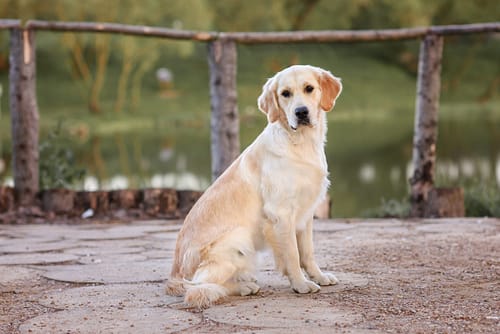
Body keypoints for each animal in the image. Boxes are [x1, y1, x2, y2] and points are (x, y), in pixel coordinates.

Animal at [166, 64, 342, 308]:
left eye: (309, 88)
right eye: (285, 93)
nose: (301, 112)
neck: (300, 143)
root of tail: (174, 277)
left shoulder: (306, 213)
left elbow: (307, 253)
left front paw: (319, 276)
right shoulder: (281, 214)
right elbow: (293, 255)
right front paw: (301, 284)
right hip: (238, 240)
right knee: (197, 288)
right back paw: (244, 286)